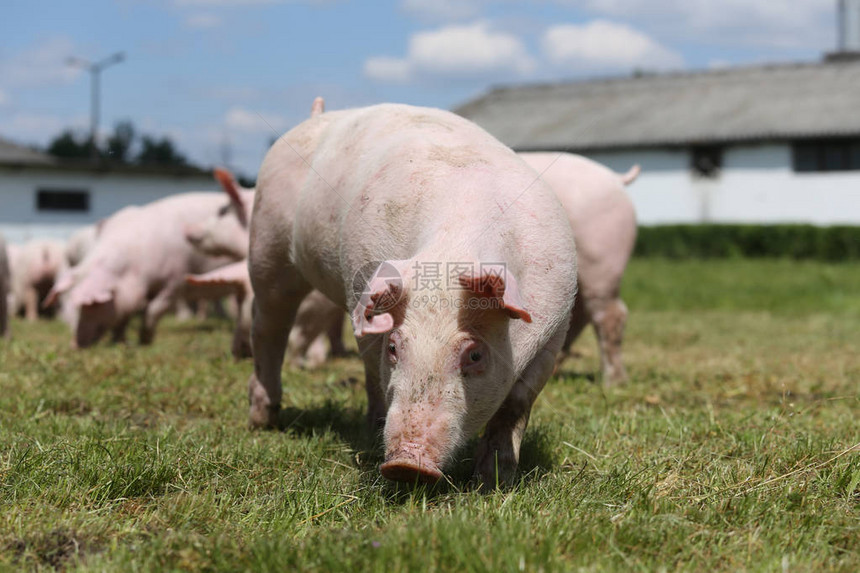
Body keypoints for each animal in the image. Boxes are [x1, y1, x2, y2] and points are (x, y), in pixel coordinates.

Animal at [47, 191, 235, 348]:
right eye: (70, 309)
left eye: (91, 306)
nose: (74, 345)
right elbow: (124, 316)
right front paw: (120, 342)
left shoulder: (176, 279)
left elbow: (155, 308)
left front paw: (145, 341)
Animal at [245, 101, 576, 482]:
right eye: (394, 346)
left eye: (475, 355)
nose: (406, 464)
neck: (453, 248)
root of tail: (316, 117)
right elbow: (376, 372)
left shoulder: (555, 326)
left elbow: (516, 403)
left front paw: (492, 481)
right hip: (266, 241)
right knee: (268, 326)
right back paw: (263, 422)